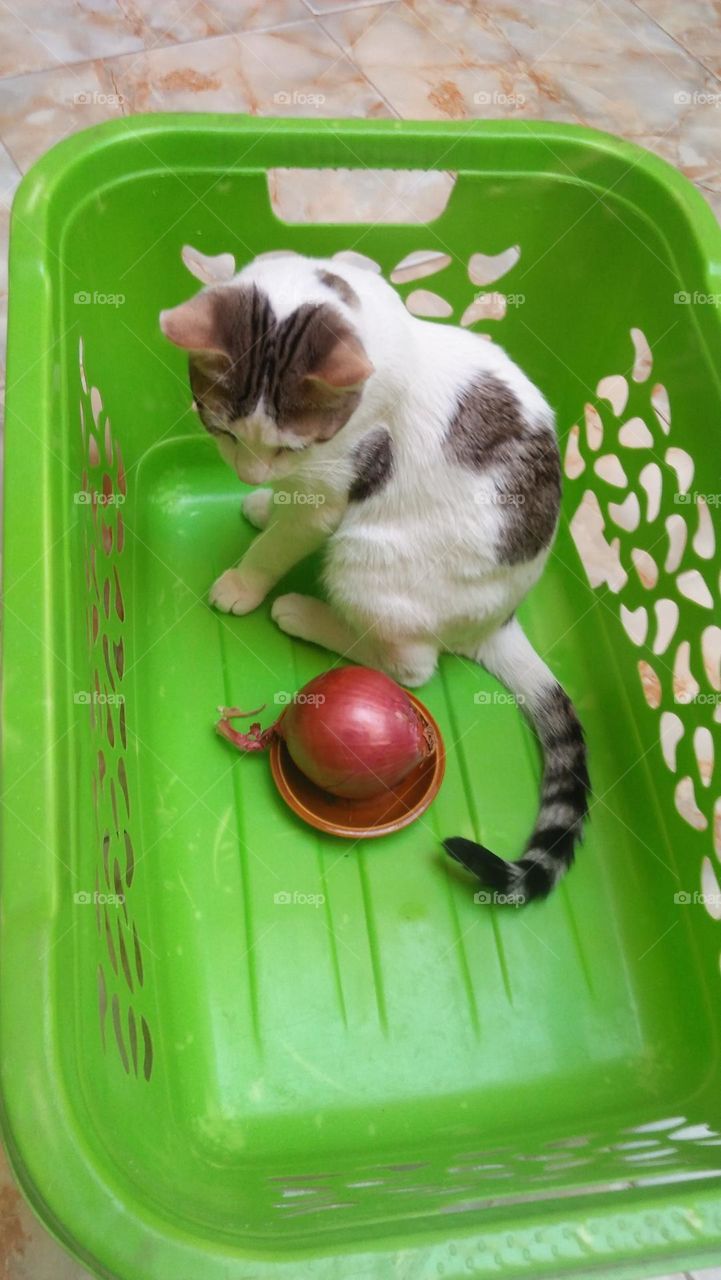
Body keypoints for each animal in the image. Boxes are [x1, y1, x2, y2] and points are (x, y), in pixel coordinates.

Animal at [160, 241, 589, 901]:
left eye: (289, 445)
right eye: (224, 431)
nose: (252, 473)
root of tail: (499, 620)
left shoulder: (335, 487)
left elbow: (284, 540)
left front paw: (245, 581)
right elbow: (282, 512)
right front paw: (263, 506)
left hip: (365, 560)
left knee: (412, 664)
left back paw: (304, 614)